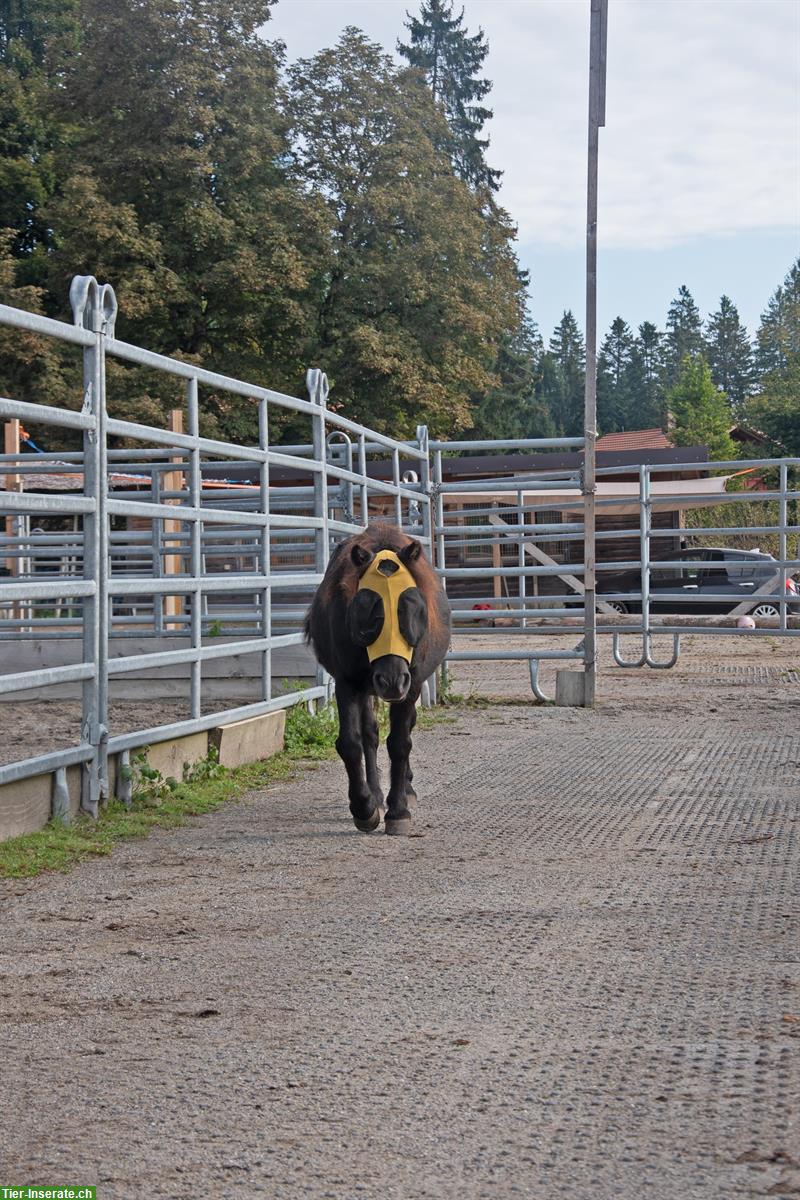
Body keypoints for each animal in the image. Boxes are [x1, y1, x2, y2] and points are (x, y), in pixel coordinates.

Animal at [304, 525, 450, 835]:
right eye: (367, 608)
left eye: (410, 606)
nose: (391, 680)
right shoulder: (347, 682)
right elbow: (351, 743)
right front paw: (364, 806)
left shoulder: (411, 683)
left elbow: (400, 742)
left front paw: (399, 810)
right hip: (367, 687)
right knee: (369, 734)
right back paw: (375, 793)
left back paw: (405, 789)